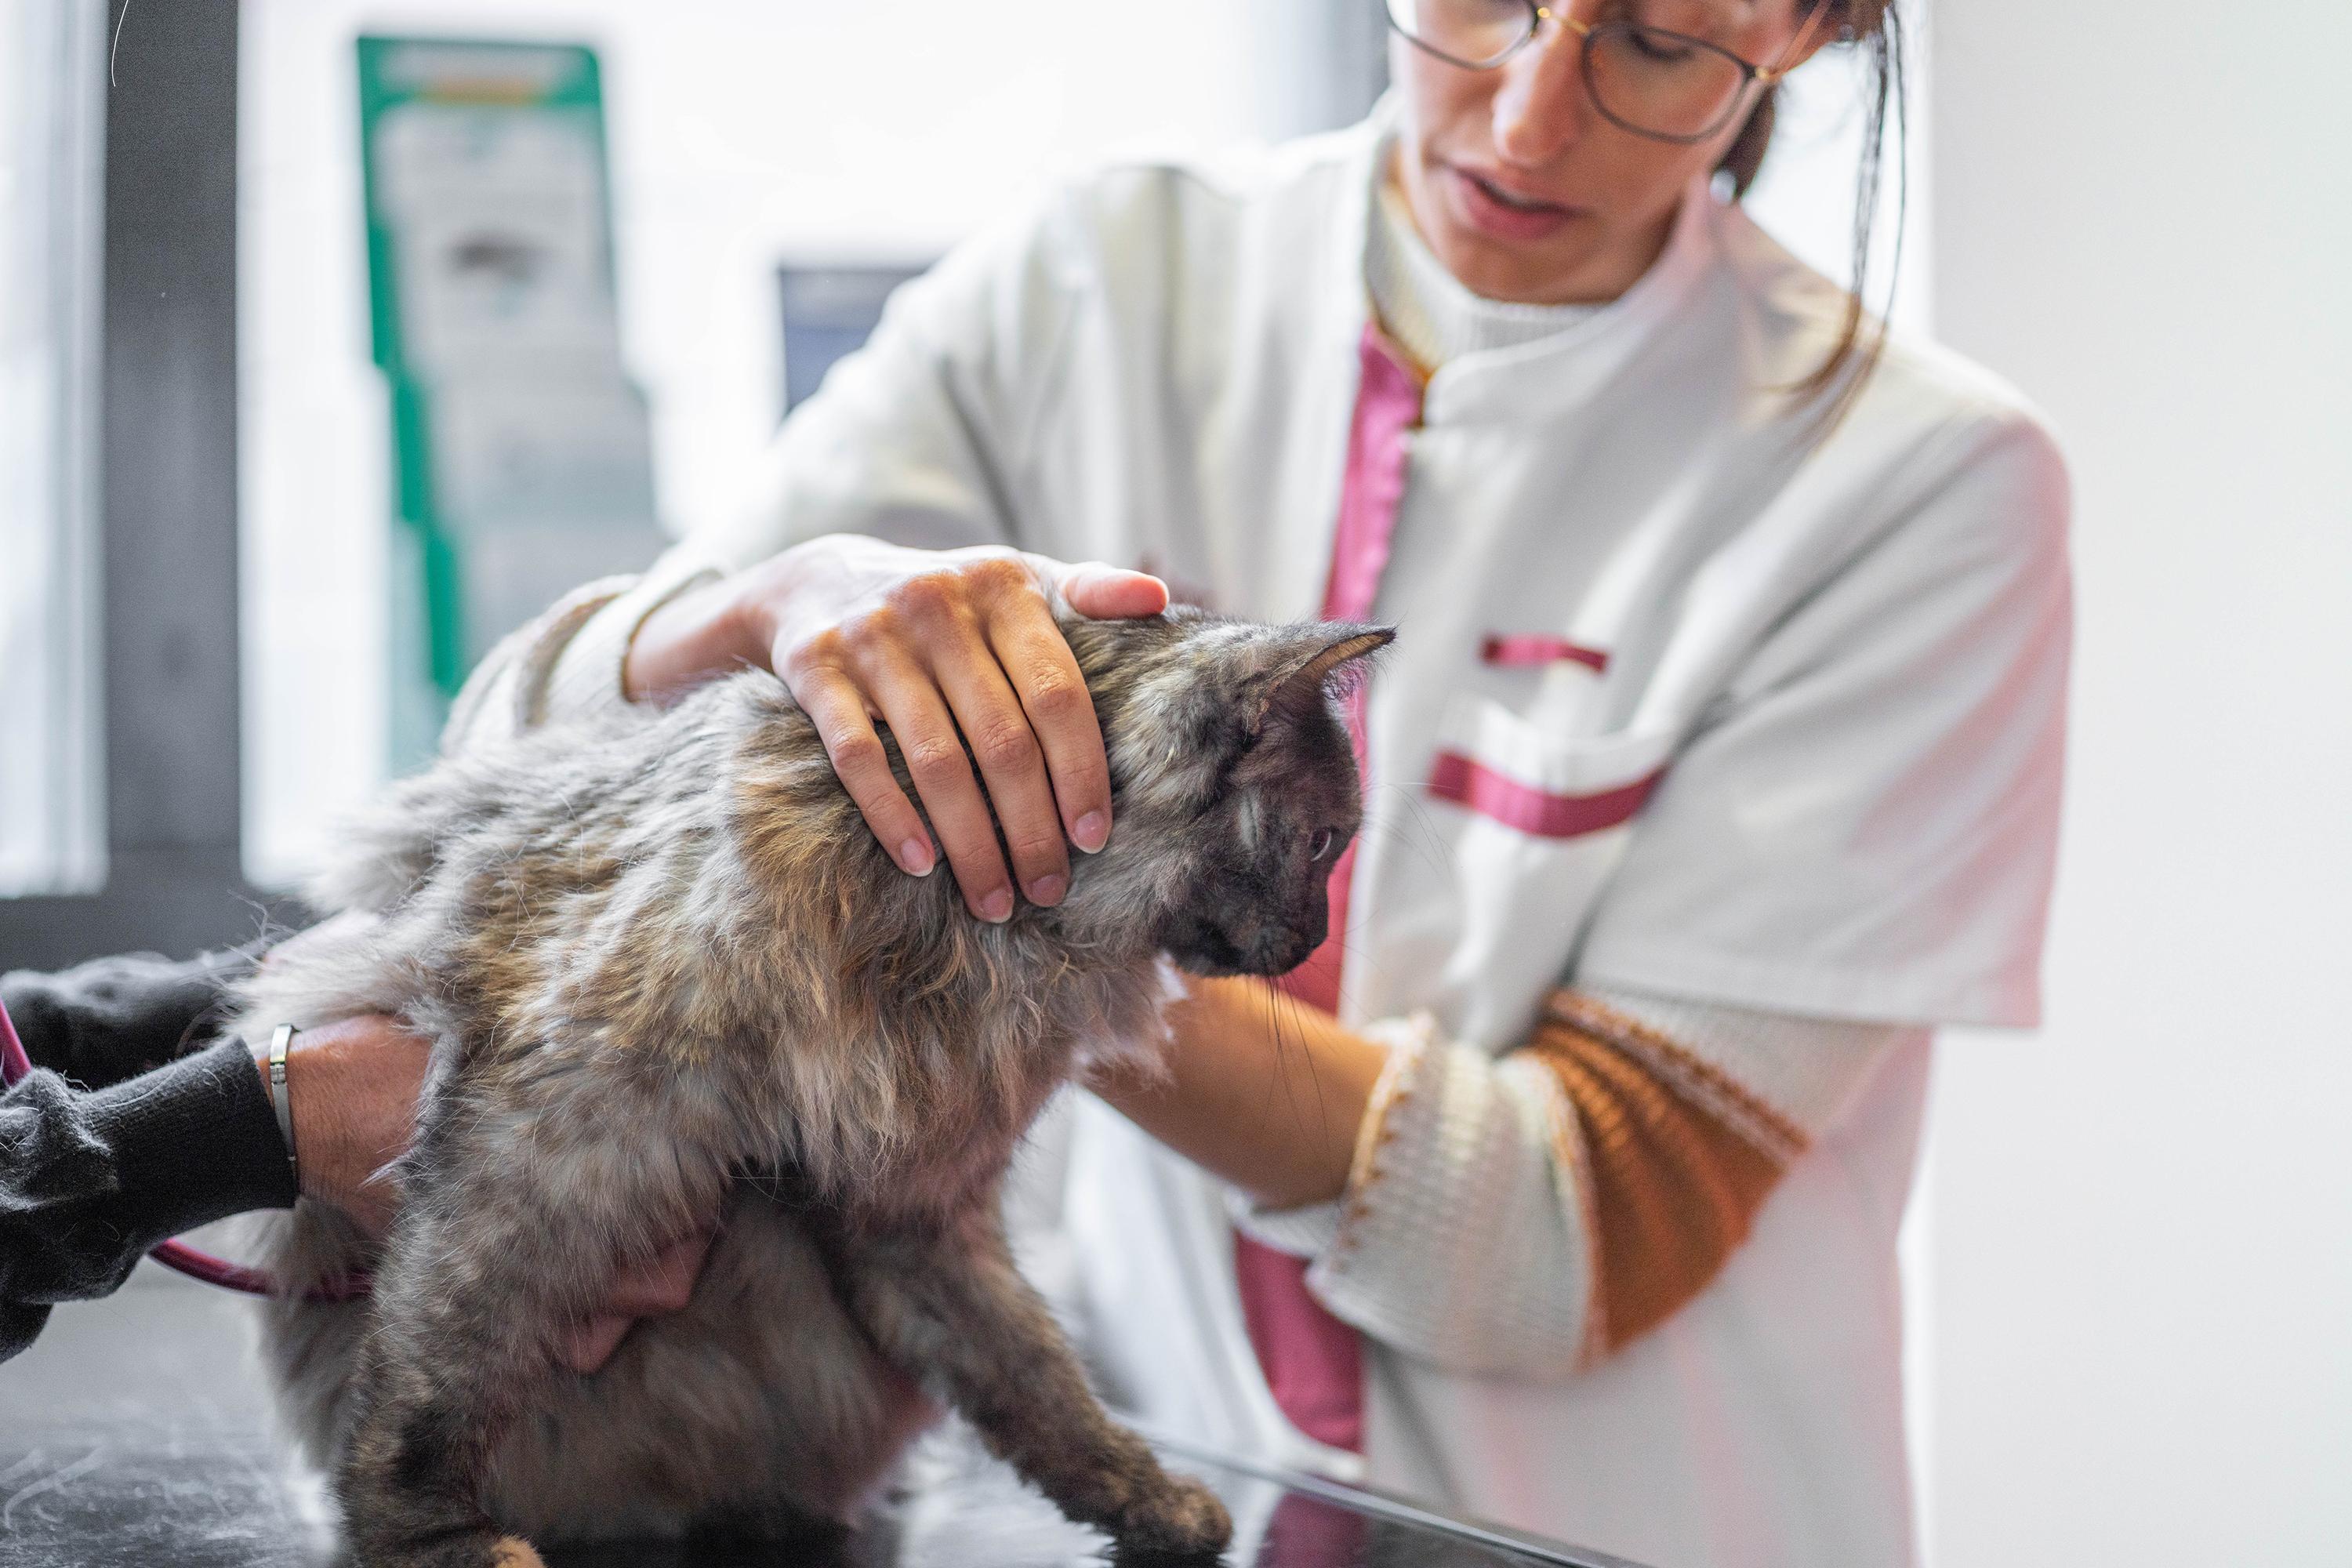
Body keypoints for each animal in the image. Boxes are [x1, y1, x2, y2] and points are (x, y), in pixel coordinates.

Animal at [224, 606, 1374, 1568]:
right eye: (1324, 841)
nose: (1317, 937)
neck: (961, 930)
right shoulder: (536, 1156)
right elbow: (432, 1369)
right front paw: (426, 1536)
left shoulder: (916, 1208)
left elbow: (1036, 1378)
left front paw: (1147, 1500)